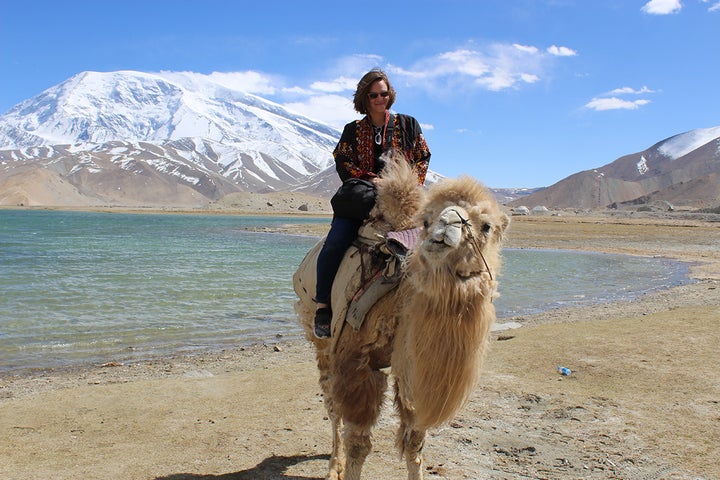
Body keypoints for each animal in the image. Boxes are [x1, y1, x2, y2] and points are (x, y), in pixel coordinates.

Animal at [294, 155, 512, 480]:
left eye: (486, 226)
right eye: (426, 221)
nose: (444, 227)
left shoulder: (412, 370)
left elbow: (414, 441)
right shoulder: (354, 359)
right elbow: (359, 443)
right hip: (318, 332)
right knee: (332, 405)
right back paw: (334, 466)